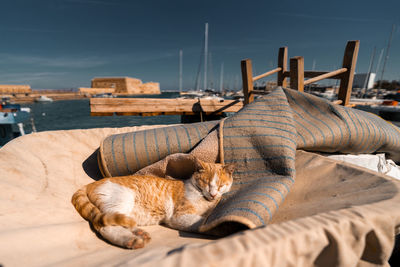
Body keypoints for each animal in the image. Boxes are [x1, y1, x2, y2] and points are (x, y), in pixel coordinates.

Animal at [71, 158, 234, 250]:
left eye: (220, 185)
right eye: (206, 182)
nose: (213, 193)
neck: (204, 198)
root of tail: (91, 183)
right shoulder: (179, 216)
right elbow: (203, 222)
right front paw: (224, 227)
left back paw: (138, 233)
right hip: (122, 200)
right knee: (104, 226)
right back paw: (131, 240)